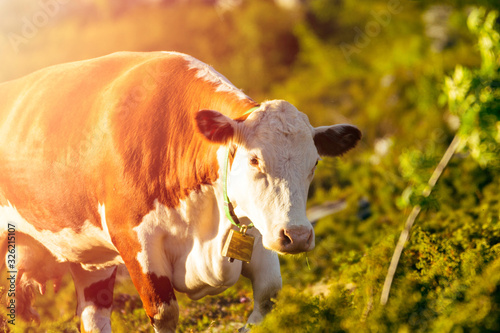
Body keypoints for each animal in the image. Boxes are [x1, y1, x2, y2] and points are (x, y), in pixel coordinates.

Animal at [0, 50, 362, 330]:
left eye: (314, 163)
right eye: (254, 160)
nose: (297, 236)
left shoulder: (259, 228)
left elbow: (268, 295)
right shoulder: (135, 241)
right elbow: (165, 313)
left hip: (91, 261)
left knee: (93, 316)